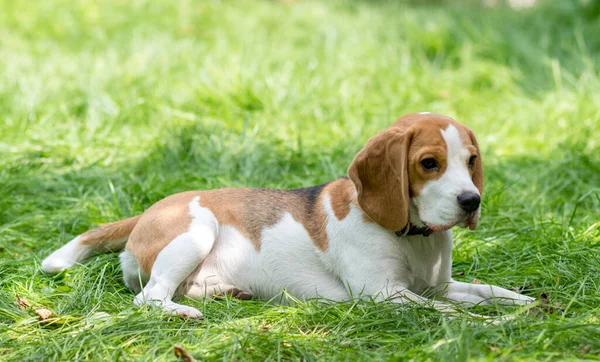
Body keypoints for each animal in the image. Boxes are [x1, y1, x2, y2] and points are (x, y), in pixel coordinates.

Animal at [42, 112, 536, 316]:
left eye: (471, 160)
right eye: (429, 163)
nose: (471, 201)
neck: (412, 236)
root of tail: (148, 211)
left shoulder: (439, 287)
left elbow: (489, 291)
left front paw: (529, 305)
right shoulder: (384, 295)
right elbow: (454, 313)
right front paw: (494, 324)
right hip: (196, 232)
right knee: (150, 298)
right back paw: (185, 314)